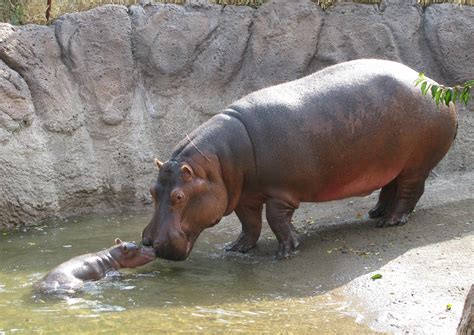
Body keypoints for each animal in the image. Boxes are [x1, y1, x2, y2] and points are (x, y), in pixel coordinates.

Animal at [141, 59, 456, 262]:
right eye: (152, 192)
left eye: (179, 197)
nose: (148, 242)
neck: (216, 164)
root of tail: (439, 86)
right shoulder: (245, 195)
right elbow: (249, 222)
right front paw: (236, 248)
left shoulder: (281, 193)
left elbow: (275, 219)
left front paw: (285, 252)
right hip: (391, 162)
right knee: (390, 186)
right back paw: (375, 213)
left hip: (415, 165)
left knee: (409, 192)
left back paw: (390, 222)